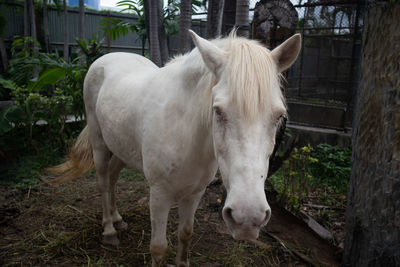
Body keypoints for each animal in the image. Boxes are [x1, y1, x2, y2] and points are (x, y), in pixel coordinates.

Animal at [48, 30, 300, 266]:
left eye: (279, 116)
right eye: (218, 111)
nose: (247, 218)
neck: (185, 132)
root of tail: (106, 57)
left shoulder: (195, 193)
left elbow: (186, 234)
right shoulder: (159, 195)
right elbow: (158, 248)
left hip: (122, 148)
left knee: (112, 177)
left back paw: (117, 219)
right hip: (99, 141)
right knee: (102, 180)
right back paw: (109, 230)